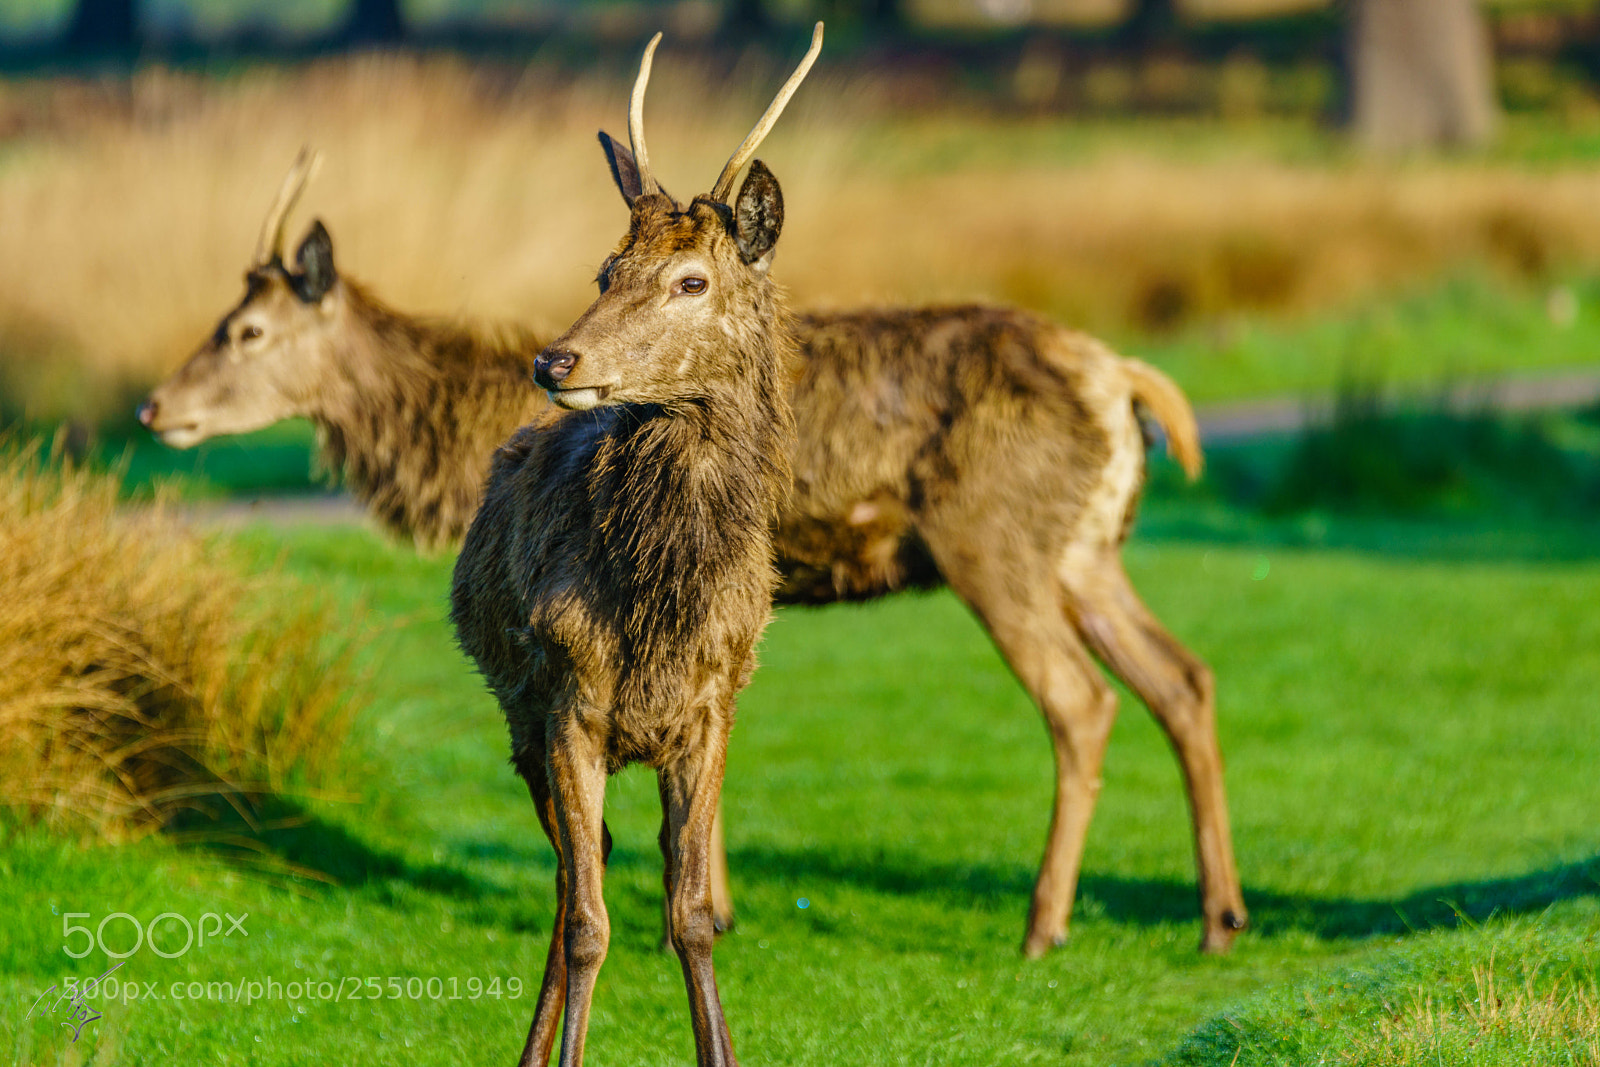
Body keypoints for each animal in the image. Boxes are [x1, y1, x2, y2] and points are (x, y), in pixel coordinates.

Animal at [141, 99, 1247, 963]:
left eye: (245, 331)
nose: (154, 406)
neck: (457, 439)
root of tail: (1123, 378)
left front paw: (708, 903)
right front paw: (718, 901)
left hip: (998, 541)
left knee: (1082, 700)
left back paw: (1044, 924)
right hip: (1086, 550)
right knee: (1182, 675)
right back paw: (1218, 915)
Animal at [449, 27, 818, 1066]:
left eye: (692, 279)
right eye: (604, 271)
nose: (555, 359)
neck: (660, 605)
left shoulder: (712, 706)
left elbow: (691, 912)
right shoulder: (569, 700)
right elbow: (588, 922)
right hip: (518, 712)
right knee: (573, 877)